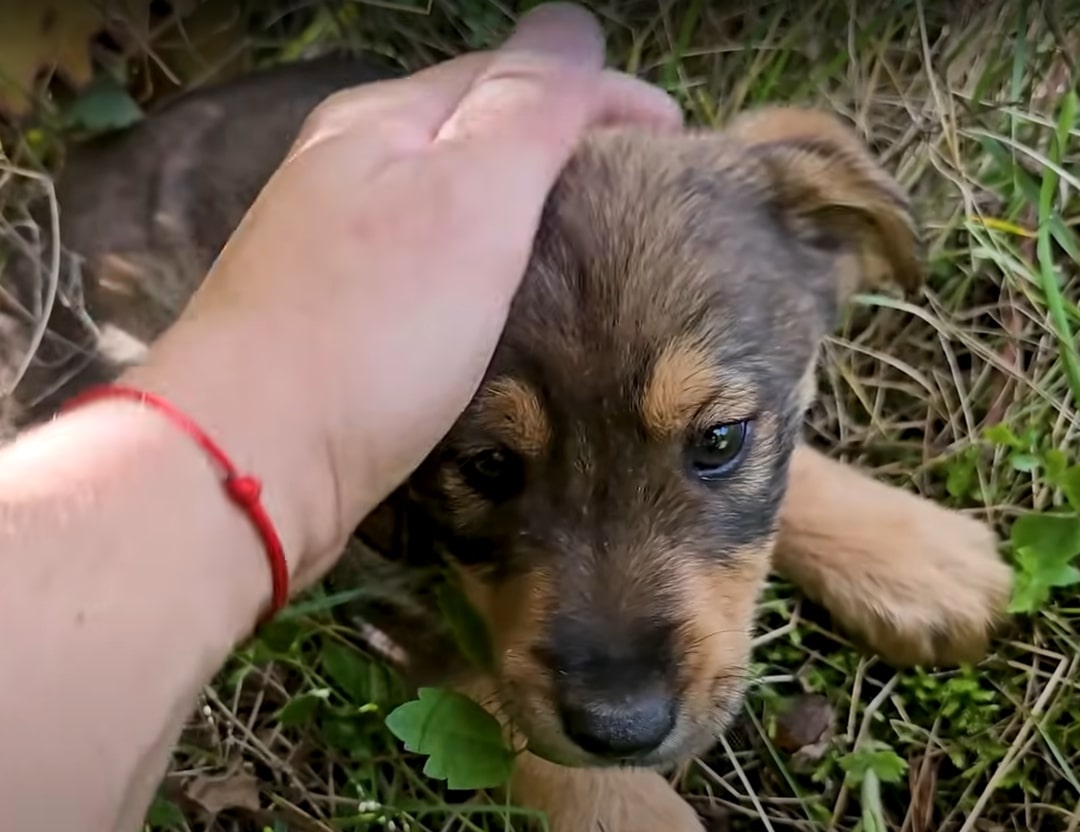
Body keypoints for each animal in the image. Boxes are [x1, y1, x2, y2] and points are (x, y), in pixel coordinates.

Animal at [2, 55, 1010, 825]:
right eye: (487, 468)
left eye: (721, 438)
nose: (622, 725)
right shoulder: (391, 587)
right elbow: (558, 757)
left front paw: (913, 557)